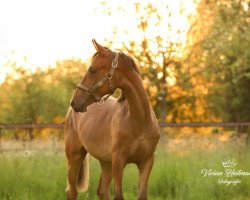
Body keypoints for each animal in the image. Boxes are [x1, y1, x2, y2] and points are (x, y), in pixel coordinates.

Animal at [65, 39, 159, 200]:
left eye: (92, 69)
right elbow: (118, 195)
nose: (75, 102)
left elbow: (141, 195)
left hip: (106, 162)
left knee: (102, 191)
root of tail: (71, 112)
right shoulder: (118, 161)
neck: (139, 120)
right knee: (72, 191)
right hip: (75, 157)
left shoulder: (147, 162)